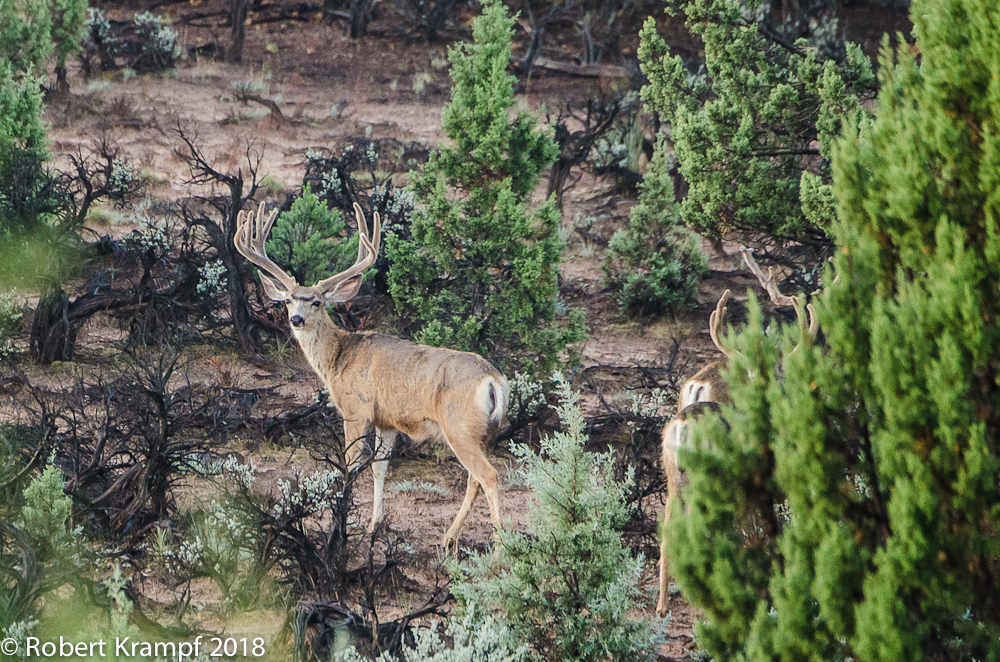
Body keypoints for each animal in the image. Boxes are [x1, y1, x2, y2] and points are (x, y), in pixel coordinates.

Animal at [234, 201, 510, 552]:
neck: (338, 358)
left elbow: (350, 466)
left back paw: (499, 548)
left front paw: (339, 525)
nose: (296, 319)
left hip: (458, 425)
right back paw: (449, 538)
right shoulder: (386, 420)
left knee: (488, 475)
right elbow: (380, 469)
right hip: (483, 431)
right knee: (474, 478)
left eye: (317, 301)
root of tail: (492, 380)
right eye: (287, 300)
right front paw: (373, 525)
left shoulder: (356, 409)